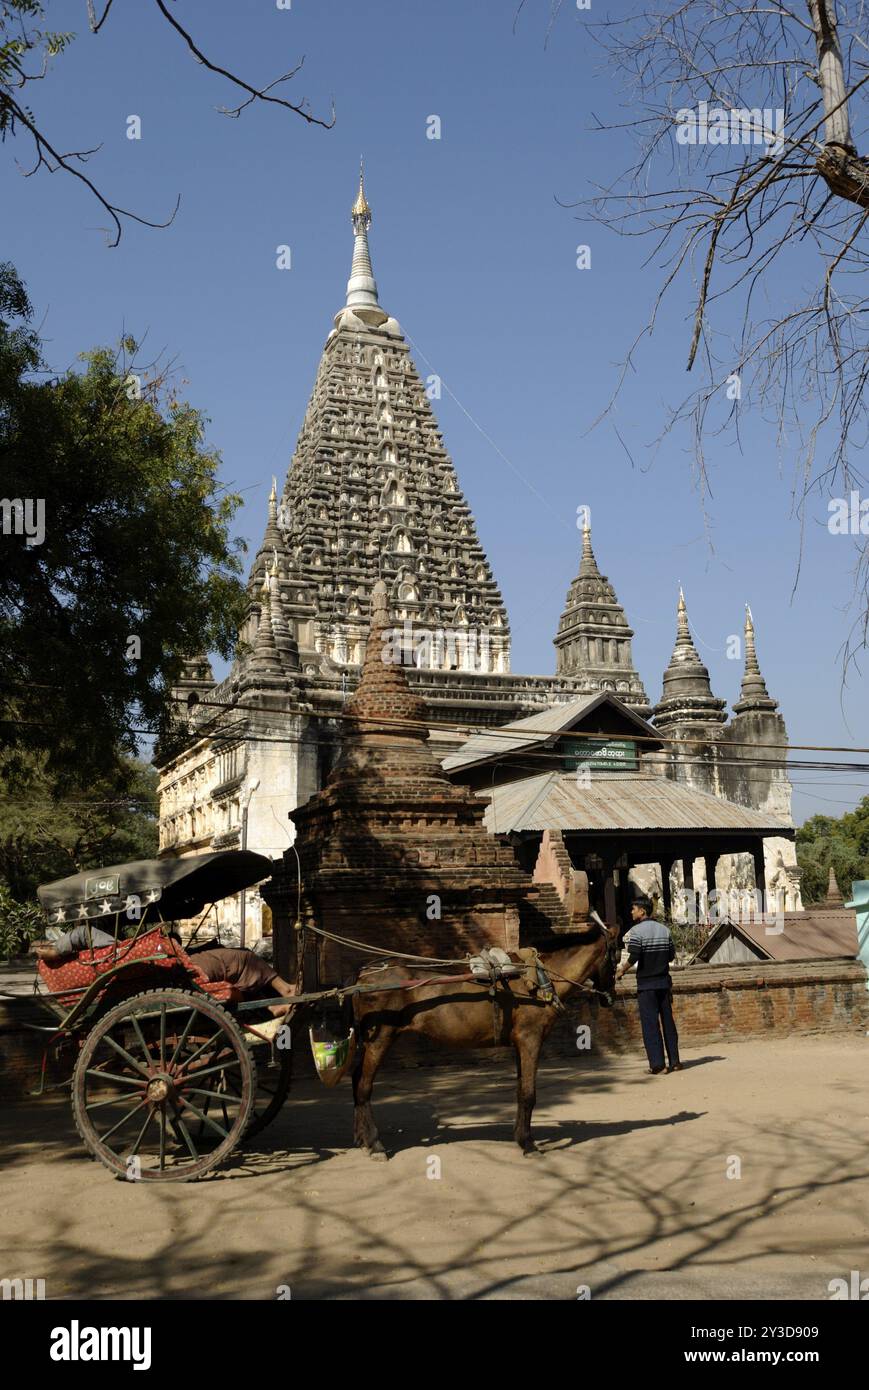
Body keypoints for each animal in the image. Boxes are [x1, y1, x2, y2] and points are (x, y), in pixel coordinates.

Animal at [347, 922, 617, 1162]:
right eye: (615, 957)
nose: (610, 998)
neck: (540, 977)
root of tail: (364, 975)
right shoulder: (530, 1038)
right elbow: (529, 1093)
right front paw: (529, 1144)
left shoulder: (519, 1043)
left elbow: (520, 1091)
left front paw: (520, 1137)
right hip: (381, 1037)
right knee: (364, 1086)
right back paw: (375, 1144)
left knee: (356, 1077)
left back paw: (362, 1138)